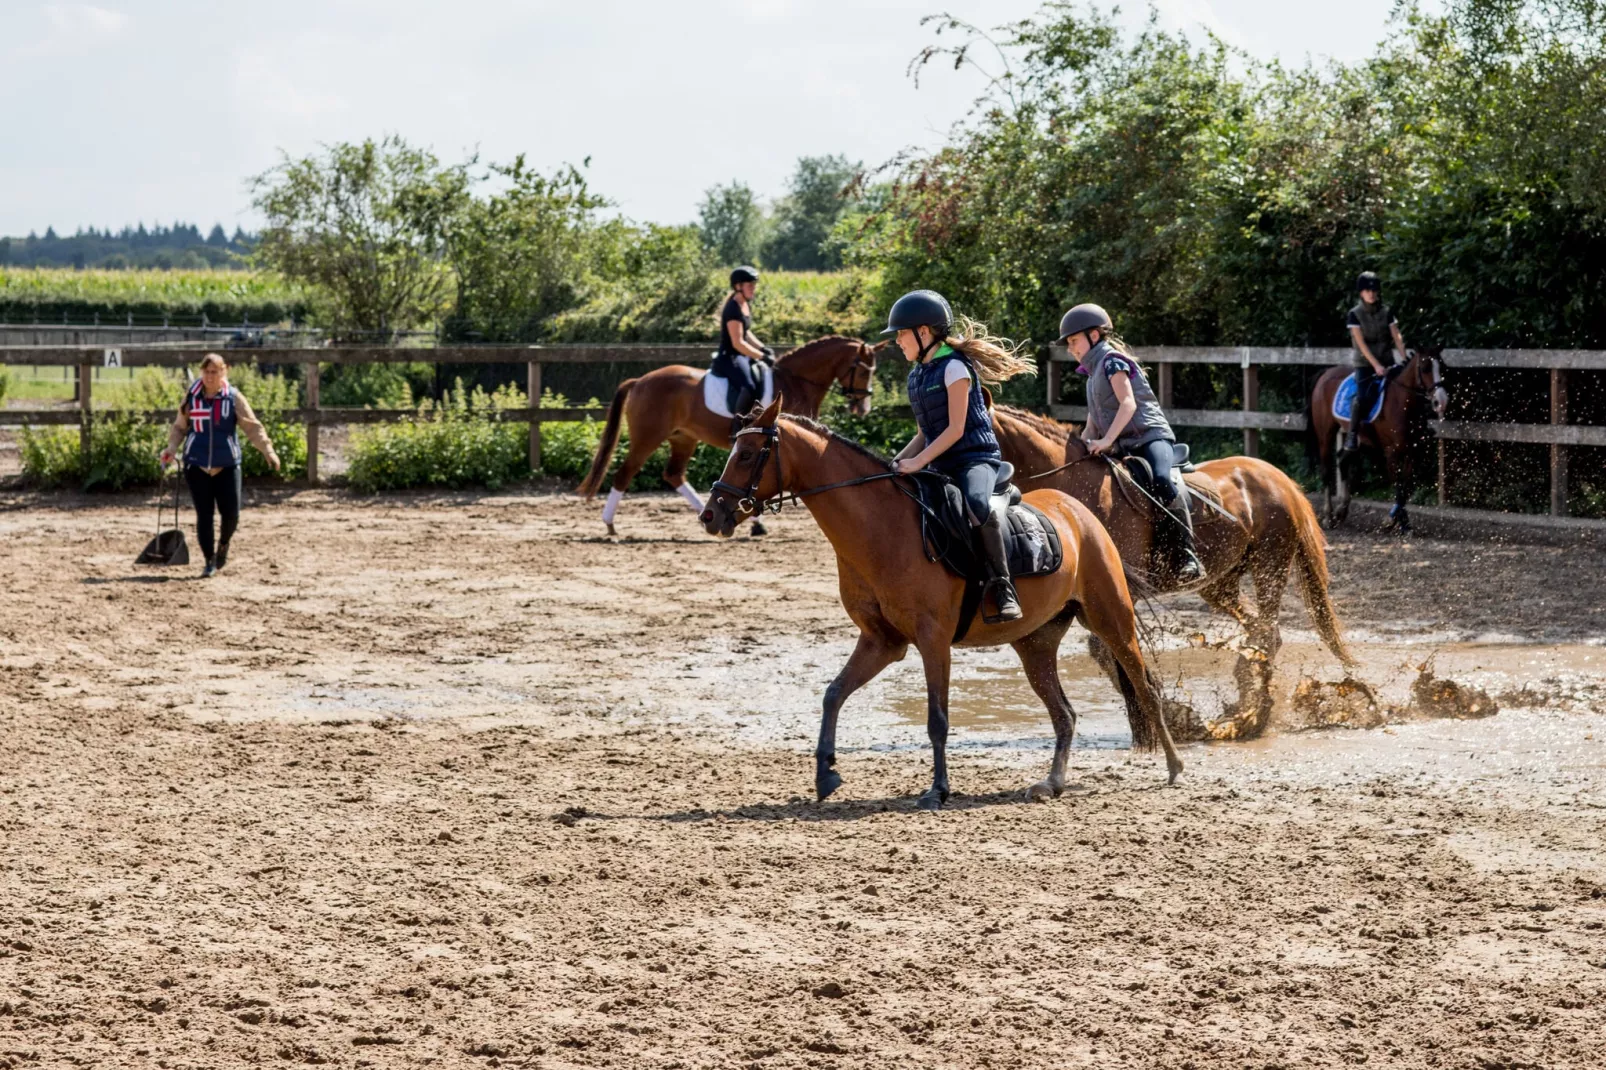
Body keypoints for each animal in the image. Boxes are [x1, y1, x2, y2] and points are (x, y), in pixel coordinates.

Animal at [574, 334, 880, 533]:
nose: (862, 407)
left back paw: (706, 511)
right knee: (624, 473)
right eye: (863, 371)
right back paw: (610, 525)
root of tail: (640, 380)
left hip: (684, 438)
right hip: (647, 438)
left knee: (673, 474)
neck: (795, 381)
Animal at [700, 400, 1182, 809]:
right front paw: (825, 775)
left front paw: (938, 790)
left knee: (1145, 688)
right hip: (1035, 645)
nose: (711, 515)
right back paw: (1053, 782)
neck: (881, 526)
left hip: (1111, 619)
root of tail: (1078, 511)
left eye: (747, 454)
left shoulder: (933, 641)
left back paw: (1175, 768)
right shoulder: (881, 642)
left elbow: (937, 719)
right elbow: (833, 694)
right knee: (1064, 712)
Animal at [989, 404, 1355, 739]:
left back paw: (1253, 716)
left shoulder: (1120, 590)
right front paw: (1167, 717)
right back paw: (1246, 698)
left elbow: (1109, 650)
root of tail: (1280, 479)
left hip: (1270, 563)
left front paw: (1166, 718)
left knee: (1266, 630)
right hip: (1220, 584)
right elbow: (1105, 652)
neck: (1074, 485)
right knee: (1261, 631)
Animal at [1304, 350, 1445, 533]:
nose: (1441, 400)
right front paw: (1398, 522)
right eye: (1426, 368)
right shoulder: (1392, 453)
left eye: (1442, 366)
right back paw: (1328, 516)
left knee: (1343, 459)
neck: (1402, 401)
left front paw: (1398, 522)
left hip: (1355, 439)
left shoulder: (1412, 453)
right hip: (1325, 434)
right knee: (1327, 470)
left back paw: (1341, 510)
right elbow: (1398, 486)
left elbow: (1406, 487)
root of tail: (1326, 373)